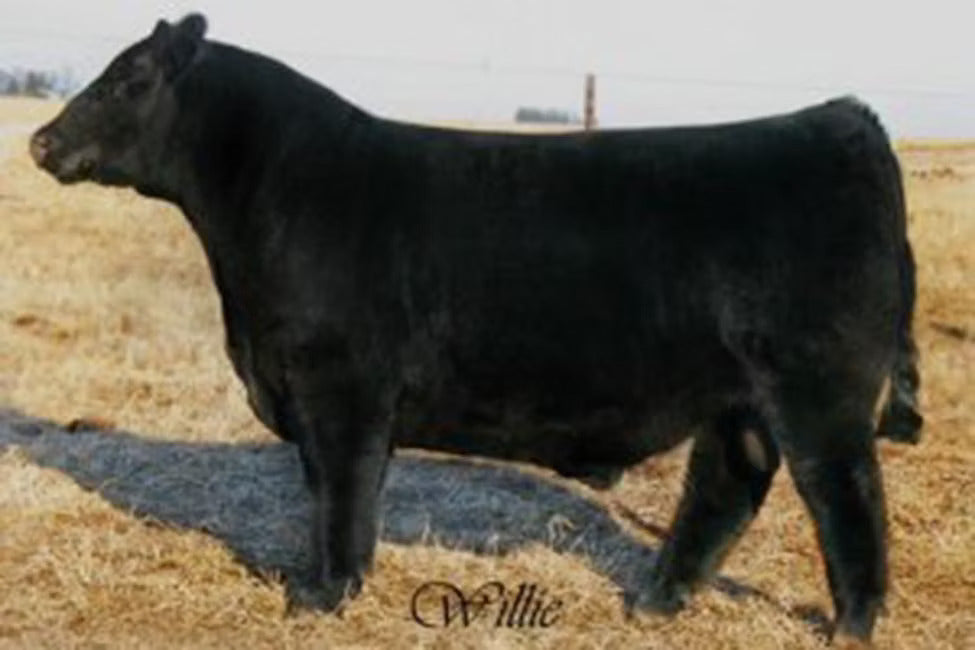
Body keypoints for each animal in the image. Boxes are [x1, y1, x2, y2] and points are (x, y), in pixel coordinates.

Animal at [29, 14, 922, 642]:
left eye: (128, 79)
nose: (40, 140)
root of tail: (843, 121)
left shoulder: (340, 386)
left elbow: (342, 493)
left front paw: (322, 596)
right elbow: (331, 490)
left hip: (819, 391)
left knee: (846, 497)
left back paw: (849, 627)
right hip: (740, 399)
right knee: (728, 484)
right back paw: (654, 604)